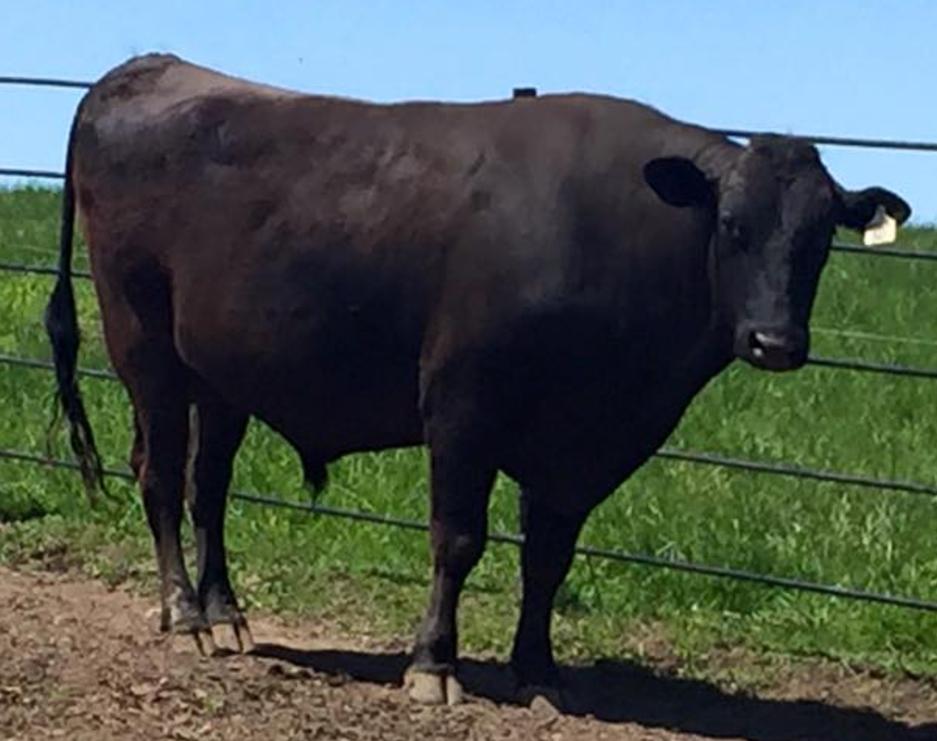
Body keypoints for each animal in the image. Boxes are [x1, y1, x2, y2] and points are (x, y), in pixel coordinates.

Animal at [46, 53, 909, 707]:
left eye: (819, 241)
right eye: (731, 226)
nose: (775, 341)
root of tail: (143, 68)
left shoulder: (577, 444)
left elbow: (548, 556)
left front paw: (538, 670)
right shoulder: (463, 406)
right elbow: (458, 539)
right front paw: (433, 664)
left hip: (221, 375)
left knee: (208, 486)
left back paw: (225, 611)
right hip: (144, 346)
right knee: (160, 476)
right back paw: (185, 613)